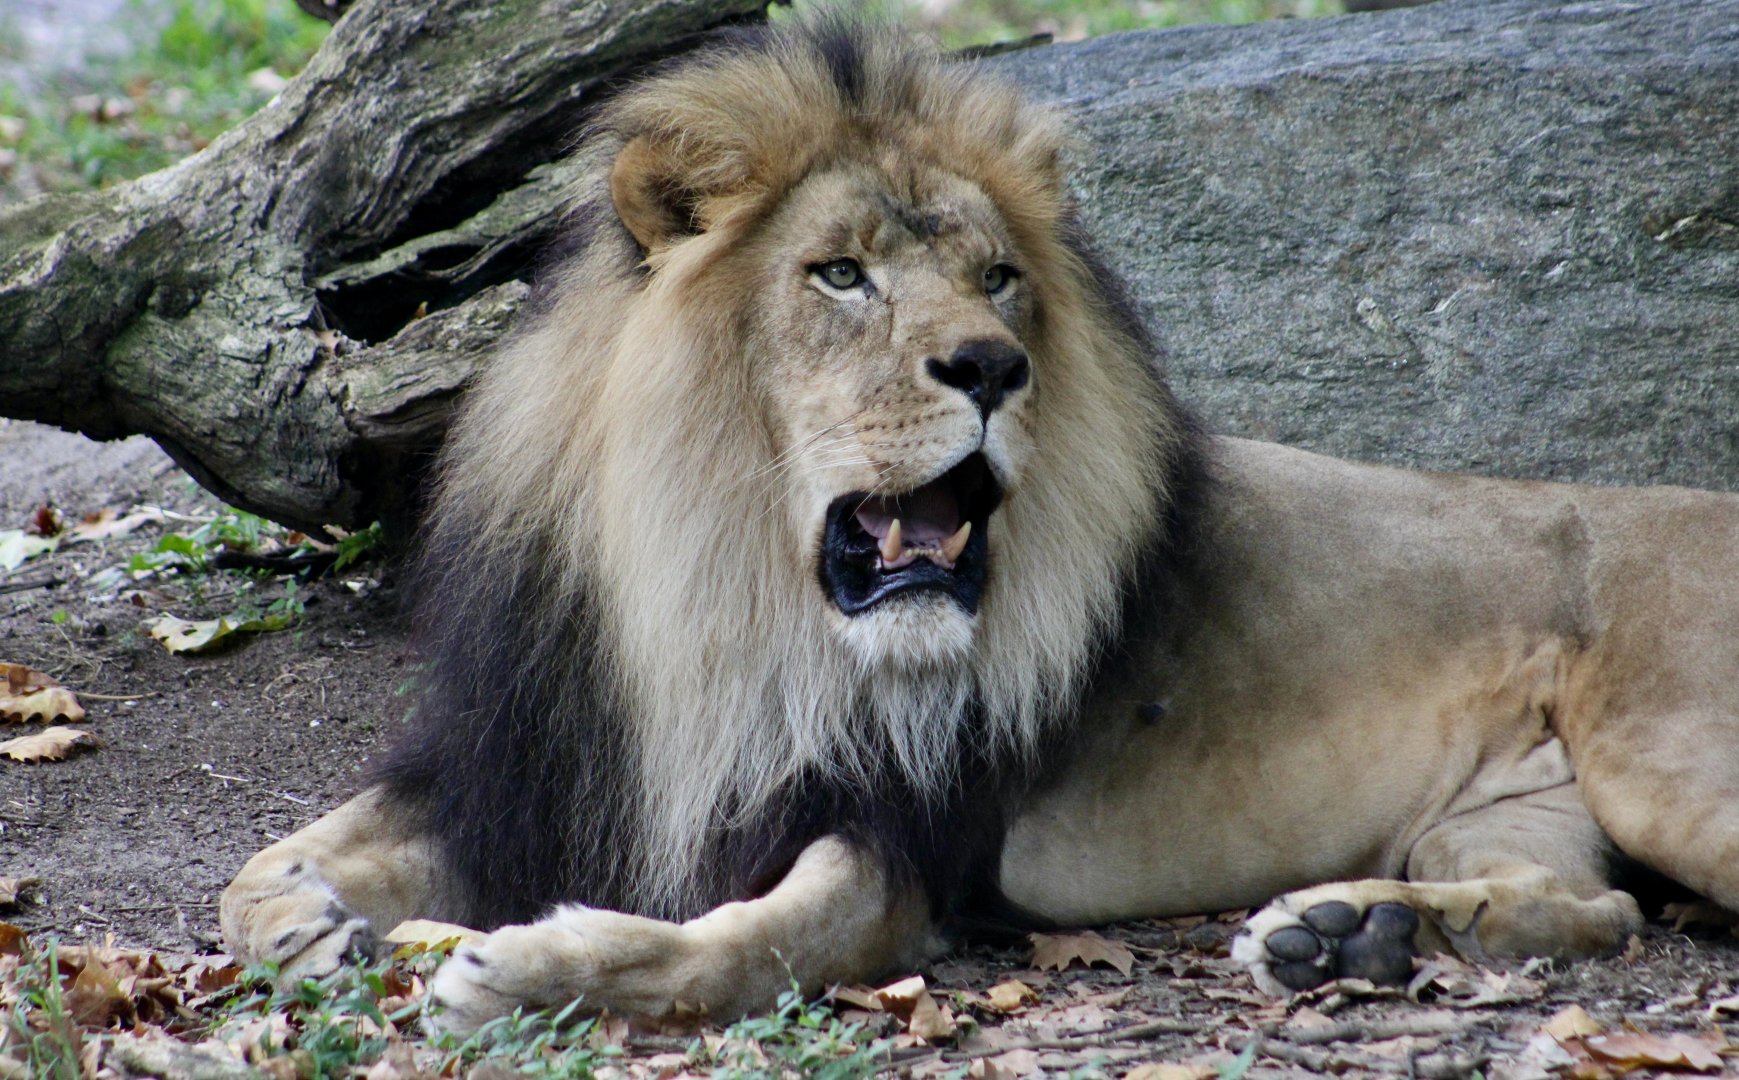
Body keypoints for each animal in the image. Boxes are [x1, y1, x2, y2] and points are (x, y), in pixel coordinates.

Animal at [221, 17, 1739, 1031]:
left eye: (999, 279)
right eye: (837, 276)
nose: (990, 367)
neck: (711, 594)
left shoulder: (907, 842)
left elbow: (740, 946)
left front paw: (532, 967)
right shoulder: (535, 755)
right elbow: (269, 858)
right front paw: (308, 923)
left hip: (1659, 766)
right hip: (1502, 819)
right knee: (1596, 910)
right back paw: (1348, 935)